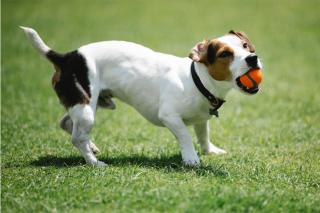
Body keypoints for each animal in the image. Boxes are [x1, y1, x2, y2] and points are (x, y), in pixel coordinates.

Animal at [20, 26, 262, 166]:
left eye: (246, 46)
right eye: (224, 54)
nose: (253, 58)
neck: (197, 80)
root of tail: (66, 58)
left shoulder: (201, 119)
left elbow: (203, 135)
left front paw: (210, 151)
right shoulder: (170, 117)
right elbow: (185, 136)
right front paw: (191, 158)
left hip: (90, 103)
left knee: (67, 123)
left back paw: (92, 147)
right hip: (86, 109)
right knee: (77, 137)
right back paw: (94, 162)